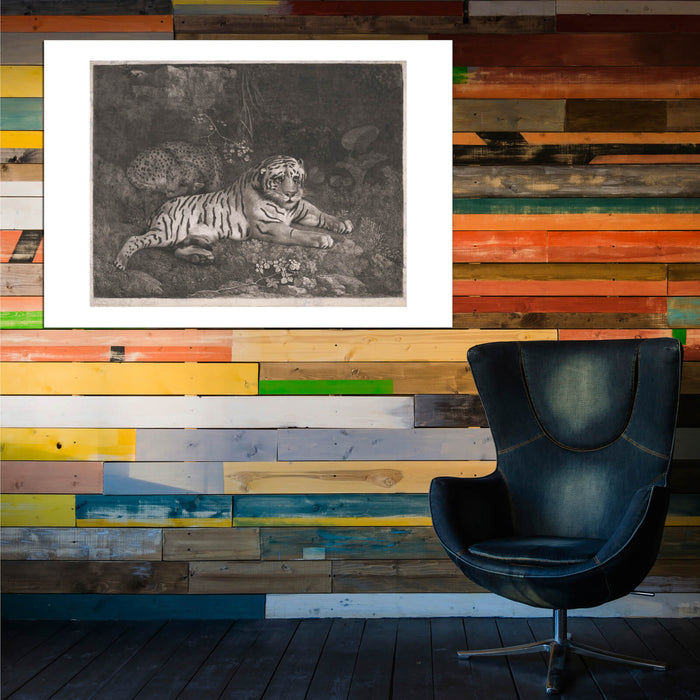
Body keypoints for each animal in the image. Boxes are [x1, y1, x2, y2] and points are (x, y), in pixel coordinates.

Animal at [114, 155, 353, 270]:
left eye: (296, 178)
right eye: (278, 179)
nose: (291, 194)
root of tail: (159, 207)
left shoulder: (300, 207)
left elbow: (321, 213)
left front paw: (343, 223)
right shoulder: (267, 227)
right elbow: (298, 233)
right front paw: (322, 238)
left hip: (193, 236)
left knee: (178, 250)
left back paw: (202, 257)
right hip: (168, 231)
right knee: (135, 239)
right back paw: (121, 262)